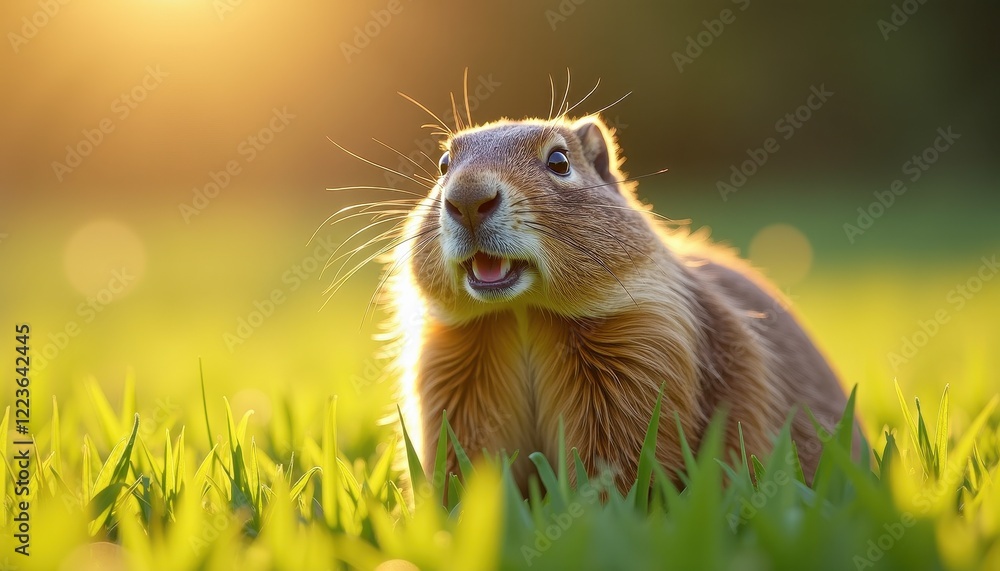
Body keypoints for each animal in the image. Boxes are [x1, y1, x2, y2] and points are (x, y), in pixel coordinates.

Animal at [371, 112, 854, 494]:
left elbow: (615, 459)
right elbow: (466, 454)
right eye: (443, 165)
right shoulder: (453, 374)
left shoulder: (642, 352)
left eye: (559, 161)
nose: (467, 197)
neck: (522, 314)